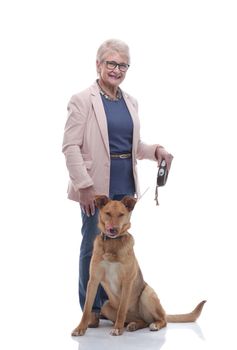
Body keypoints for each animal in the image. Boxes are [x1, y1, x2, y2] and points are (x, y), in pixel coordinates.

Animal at [71, 197, 206, 336]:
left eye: (121, 214)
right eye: (108, 213)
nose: (113, 230)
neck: (113, 242)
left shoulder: (127, 281)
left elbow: (122, 309)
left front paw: (118, 328)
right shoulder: (93, 280)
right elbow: (86, 309)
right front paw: (80, 328)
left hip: (147, 293)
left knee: (162, 319)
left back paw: (154, 325)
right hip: (106, 306)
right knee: (142, 321)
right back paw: (133, 325)